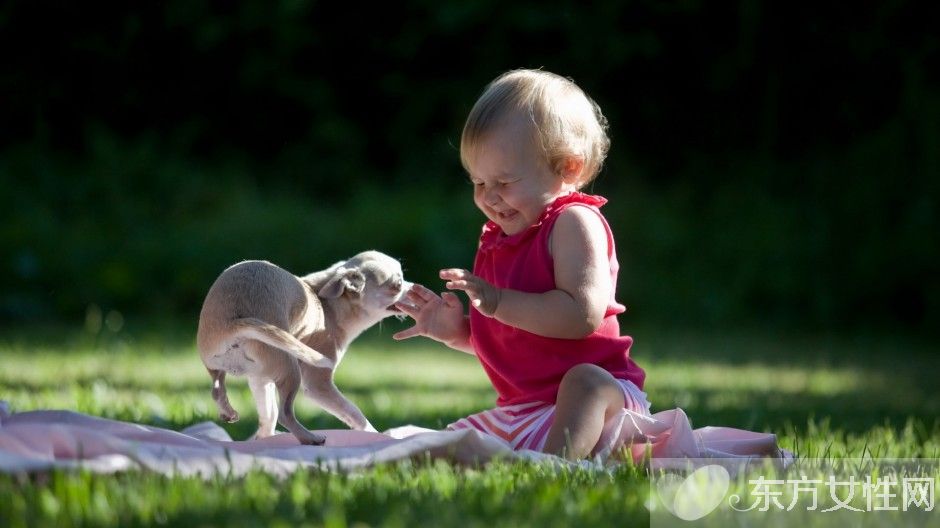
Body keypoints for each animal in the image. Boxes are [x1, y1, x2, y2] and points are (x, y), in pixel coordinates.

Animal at [194, 252, 408, 446]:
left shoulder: (260, 379)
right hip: (290, 368)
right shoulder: (318, 384)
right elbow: (352, 411)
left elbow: (267, 414)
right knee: (284, 413)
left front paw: (264, 438)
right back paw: (309, 438)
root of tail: (232, 324)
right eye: (397, 285)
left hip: (221, 365)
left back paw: (229, 412)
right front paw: (374, 433)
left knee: (219, 390)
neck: (328, 305)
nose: (412, 287)